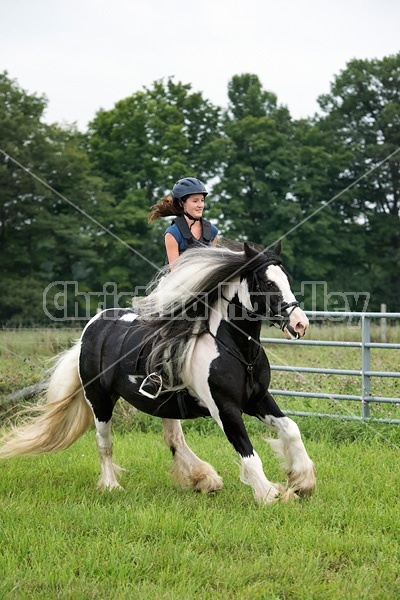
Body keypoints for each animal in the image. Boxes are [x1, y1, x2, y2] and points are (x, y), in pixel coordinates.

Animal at [1, 241, 318, 504]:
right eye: (265, 282)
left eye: (287, 280)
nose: (300, 324)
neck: (236, 350)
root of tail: (90, 330)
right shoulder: (225, 409)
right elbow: (249, 454)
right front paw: (268, 495)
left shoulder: (258, 400)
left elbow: (291, 429)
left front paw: (302, 482)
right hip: (99, 399)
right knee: (105, 443)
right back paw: (112, 486)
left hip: (163, 402)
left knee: (173, 440)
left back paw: (203, 478)